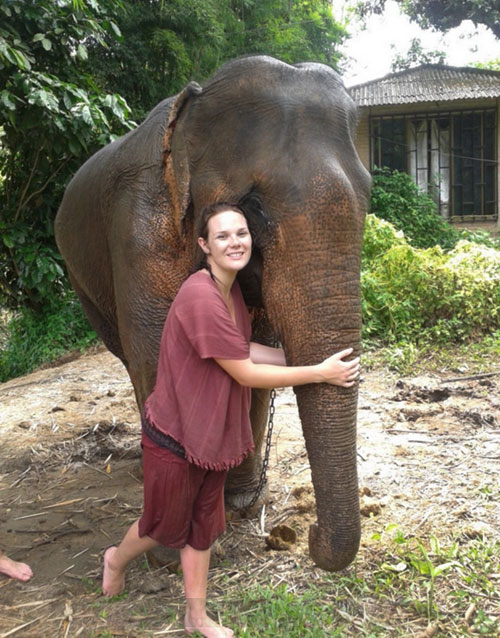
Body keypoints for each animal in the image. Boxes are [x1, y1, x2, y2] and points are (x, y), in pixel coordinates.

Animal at [56, 56, 374, 576]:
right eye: (254, 207)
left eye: (368, 198)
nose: (308, 534)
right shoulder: (139, 231)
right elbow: (157, 354)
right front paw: (172, 547)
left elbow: (252, 353)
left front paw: (242, 503)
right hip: (80, 276)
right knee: (130, 359)